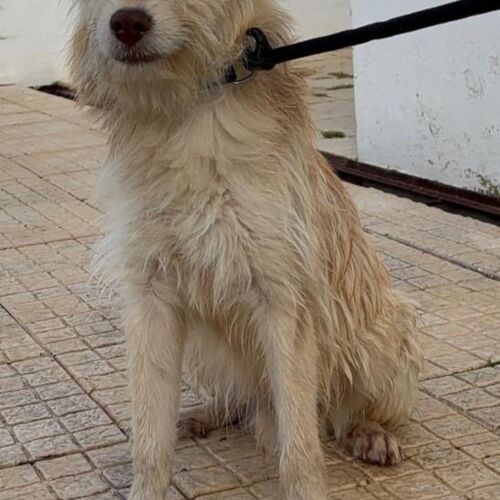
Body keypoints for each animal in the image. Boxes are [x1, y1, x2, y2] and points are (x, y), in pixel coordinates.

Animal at [70, 1, 422, 499]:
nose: (127, 23)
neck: (188, 112)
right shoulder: (150, 295)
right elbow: (150, 435)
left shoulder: (284, 296)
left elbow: (300, 443)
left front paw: (306, 487)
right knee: (241, 402)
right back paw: (203, 415)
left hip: (386, 332)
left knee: (341, 410)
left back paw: (369, 431)